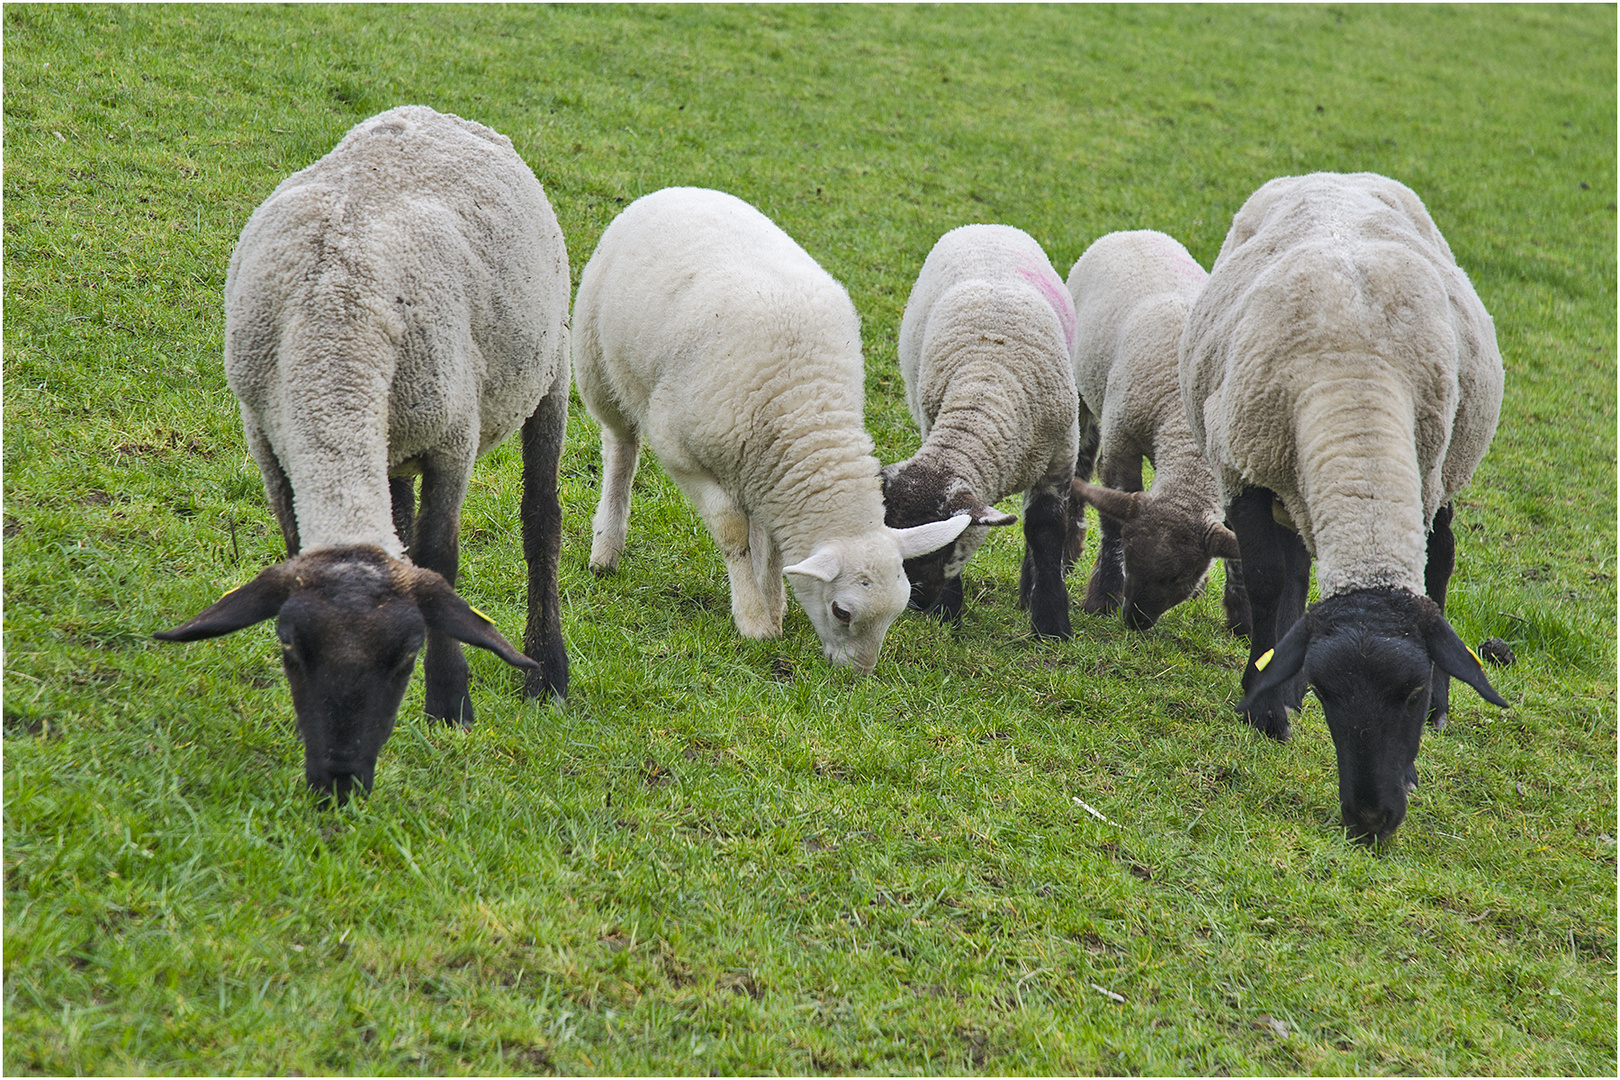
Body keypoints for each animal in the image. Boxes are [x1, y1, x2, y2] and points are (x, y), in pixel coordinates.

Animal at [153, 107, 570, 803]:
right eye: (290, 649)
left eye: (404, 658)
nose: (339, 783)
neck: (333, 326)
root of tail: (434, 111)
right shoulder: (266, 438)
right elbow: (303, 541)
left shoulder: (453, 438)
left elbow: (440, 560)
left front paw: (450, 702)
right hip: (396, 438)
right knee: (397, 515)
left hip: (550, 369)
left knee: (541, 522)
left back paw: (550, 673)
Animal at [881, 223, 1082, 637]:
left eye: (940, 547)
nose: (914, 603)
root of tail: (987, 225)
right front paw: (947, 612)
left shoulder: (1060, 458)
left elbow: (1045, 530)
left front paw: (1051, 624)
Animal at [1179, 169, 1503, 841]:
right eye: (1330, 694)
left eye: (1410, 693)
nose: (1370, 820)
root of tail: (1337, 174)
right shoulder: (1245, 469)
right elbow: (1267, 581)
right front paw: (1267, 704)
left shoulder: (1420, 477)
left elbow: (1429, 573)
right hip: (1289, 483)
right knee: (1297, 570)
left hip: (1443, 469)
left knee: (1442, 561)